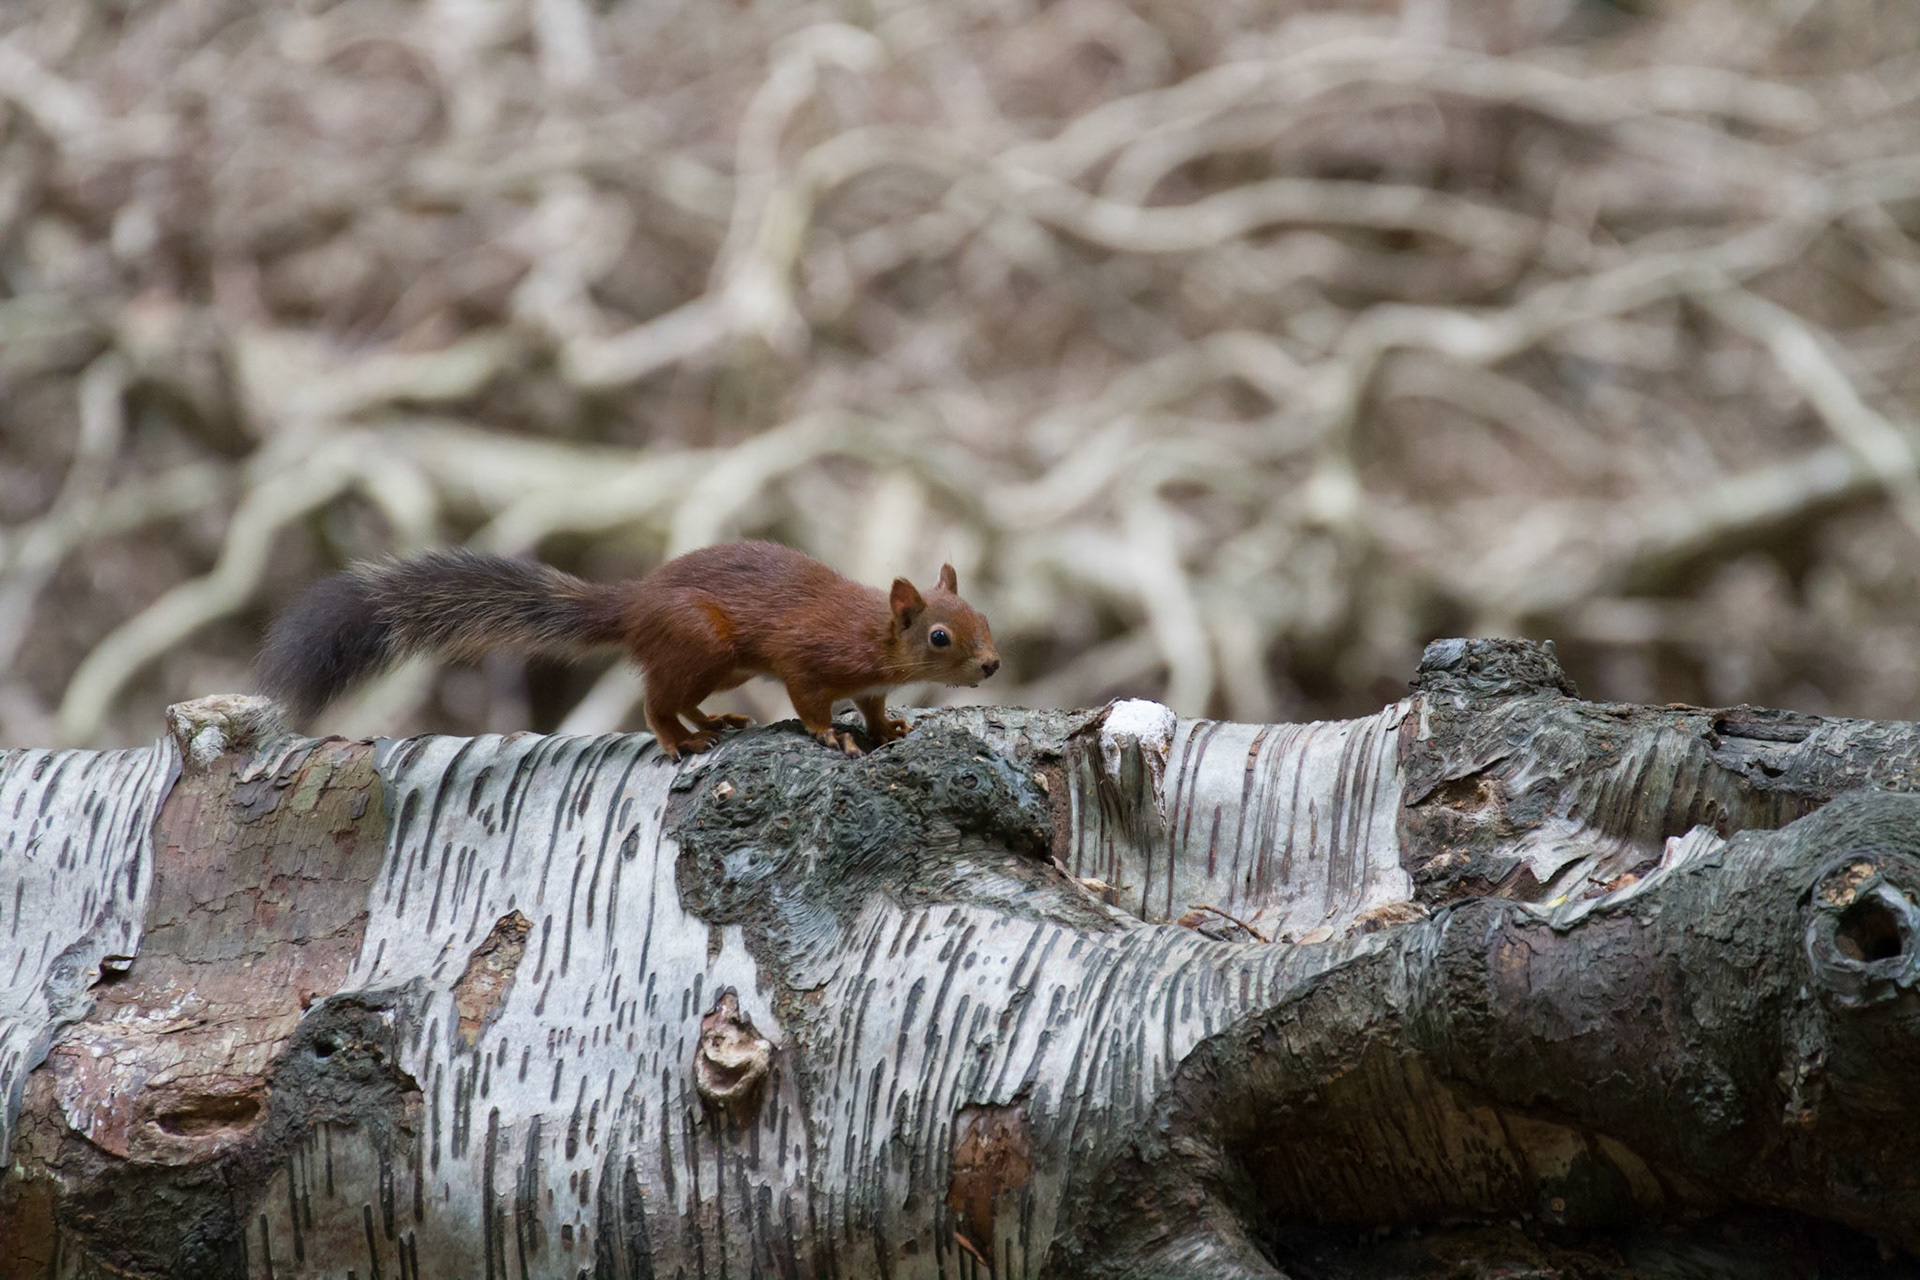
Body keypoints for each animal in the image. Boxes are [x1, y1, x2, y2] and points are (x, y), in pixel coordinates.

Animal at [256, 540, 1000, 759]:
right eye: (939, 635)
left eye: (982, 616)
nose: (993, 664)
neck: (875, 636)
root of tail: (634, 606)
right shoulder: (808, 656)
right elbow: (809, 701)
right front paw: (830, 735)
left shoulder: (869, 684)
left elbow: (874, 710)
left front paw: (891, 729)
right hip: (702, 641)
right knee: (653, 702)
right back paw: (679, 741)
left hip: (718, 668)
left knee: (682, 697)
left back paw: (713, 723)